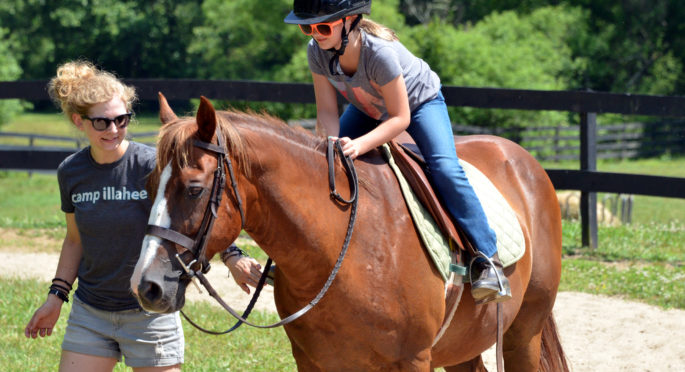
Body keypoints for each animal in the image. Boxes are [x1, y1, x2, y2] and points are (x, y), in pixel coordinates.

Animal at [130, 94, 568, 370]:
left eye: (193, 189)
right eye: (149, 186)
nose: (146, 285)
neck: (344, 251)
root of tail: (524, 160)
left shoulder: (412, 360)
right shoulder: (315, 362)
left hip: (522, 336)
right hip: (463, 346)